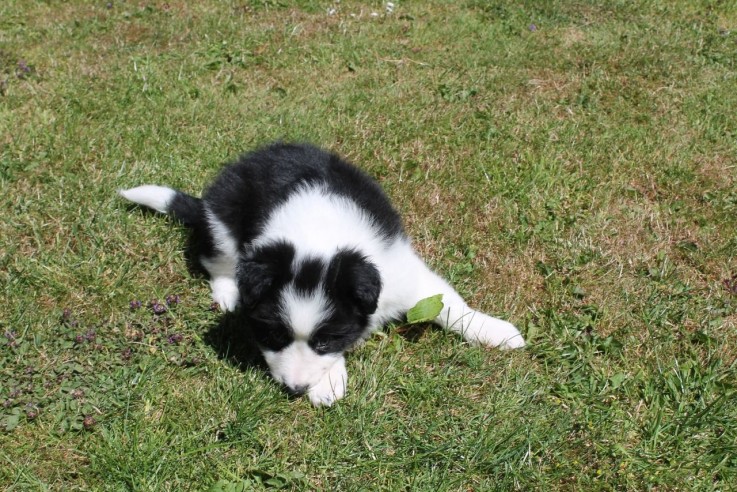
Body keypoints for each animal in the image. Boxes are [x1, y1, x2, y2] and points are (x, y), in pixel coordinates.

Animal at [119, 142, 524, 408]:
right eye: (273, 336)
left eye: (325, 340)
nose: (295, 389)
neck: (317, 236)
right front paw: (327, 382)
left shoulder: (401, 272)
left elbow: (450, 305)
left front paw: (494, 331)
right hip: (222, 218)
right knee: (217, 259)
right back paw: (227, 292)